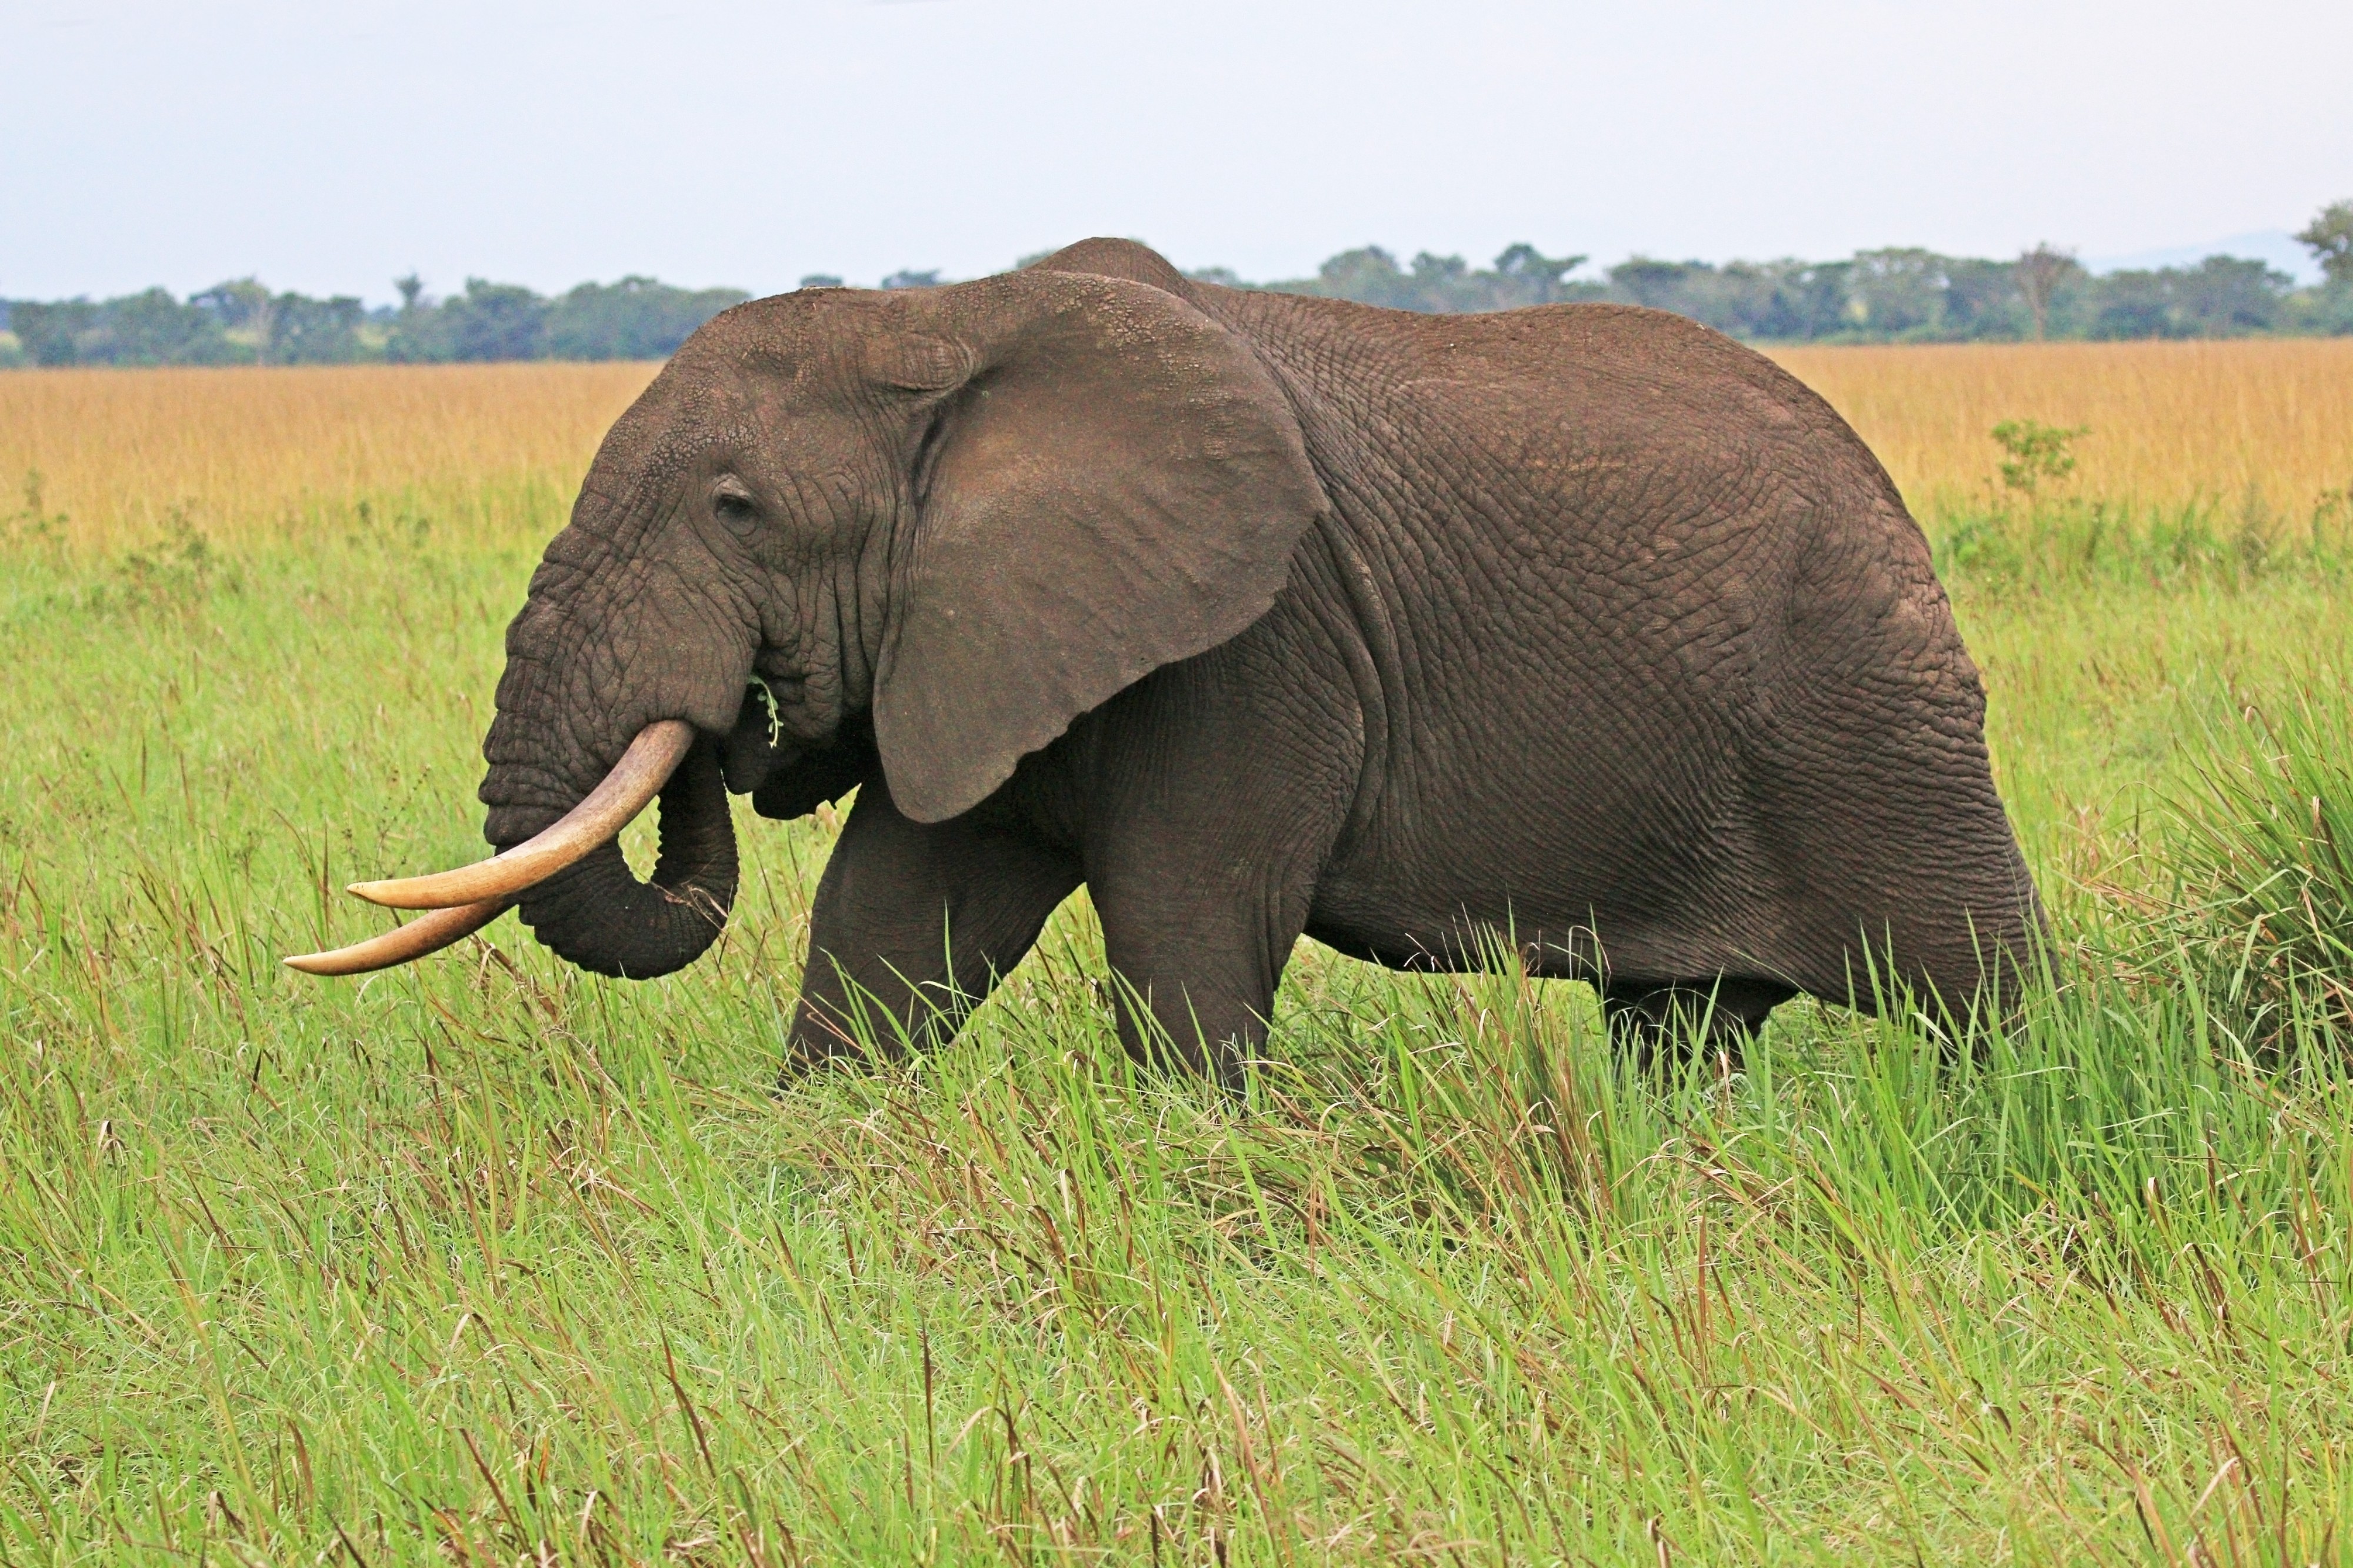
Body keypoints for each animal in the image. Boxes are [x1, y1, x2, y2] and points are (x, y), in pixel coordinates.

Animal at [292, 237, 2043, 1085]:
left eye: (736, 509)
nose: (743, 719)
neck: (950, 326)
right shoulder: (988, 630)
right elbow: (891, 925)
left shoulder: (1258, 643)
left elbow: (1188, 931)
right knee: (1679, 1028)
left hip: (1871, 707)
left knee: (1979, 990)